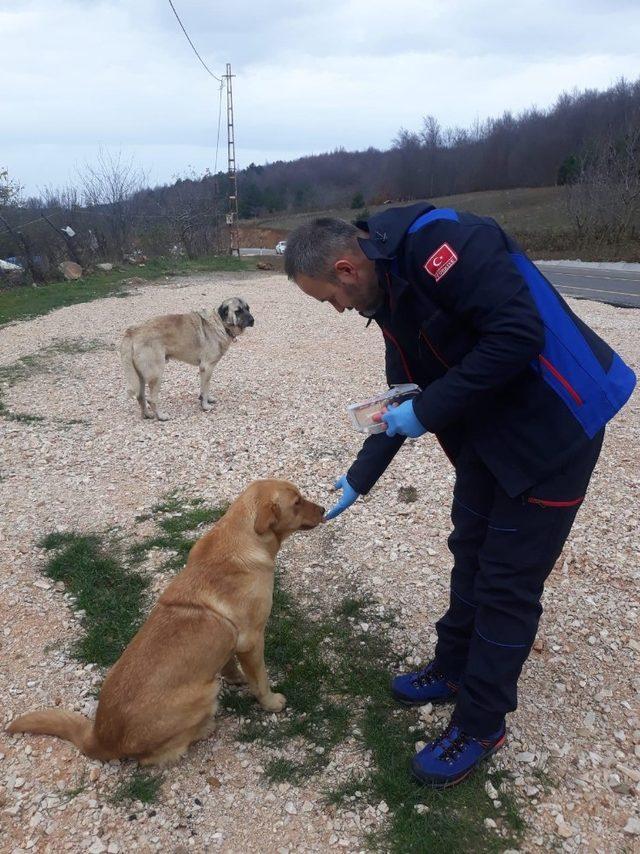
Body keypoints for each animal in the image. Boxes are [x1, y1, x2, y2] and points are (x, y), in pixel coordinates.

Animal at [7, 482, 322, 768]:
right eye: (297, 502)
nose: (322, 510)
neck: (242, 537)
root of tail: (100, 738)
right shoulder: (253, 640)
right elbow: (261, 680)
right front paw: (271, 703)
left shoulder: (231, 642)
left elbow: (228, 663)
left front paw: (235, 677)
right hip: (204, 694)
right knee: (155, 757)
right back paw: (205, 728)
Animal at [120, 298, 252, 422]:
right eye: (238, 311)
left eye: (248, 308)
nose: (252, 320)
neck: (220, 323)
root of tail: (132, 332)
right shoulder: (207, 367)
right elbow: (206, 387)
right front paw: (205, 405)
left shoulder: (204, 370)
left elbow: (205, 387)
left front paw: (206, 399)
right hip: (156, 374)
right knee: (151, 399)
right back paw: (161, 416)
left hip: (140, 377)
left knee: (140, 397)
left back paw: (147, 415)